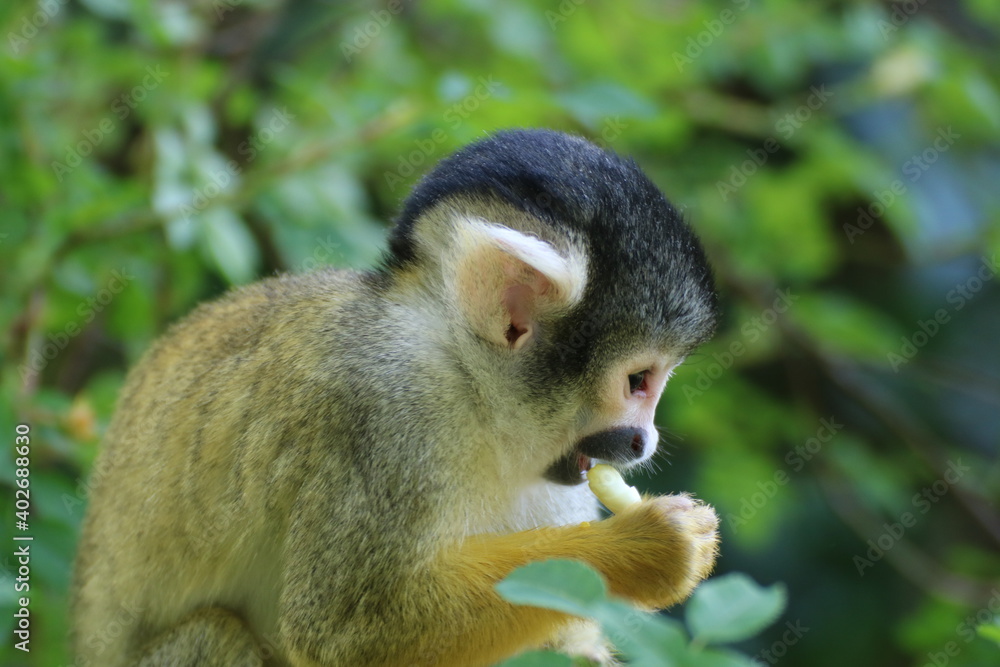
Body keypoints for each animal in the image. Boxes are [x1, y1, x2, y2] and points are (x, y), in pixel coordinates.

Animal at [71, 128, 720, 666]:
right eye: (638, 381)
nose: (642, 441)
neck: (469, 391)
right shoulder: (381, 410)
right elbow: (344, 634)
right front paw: (647, 548)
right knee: (217, 636)